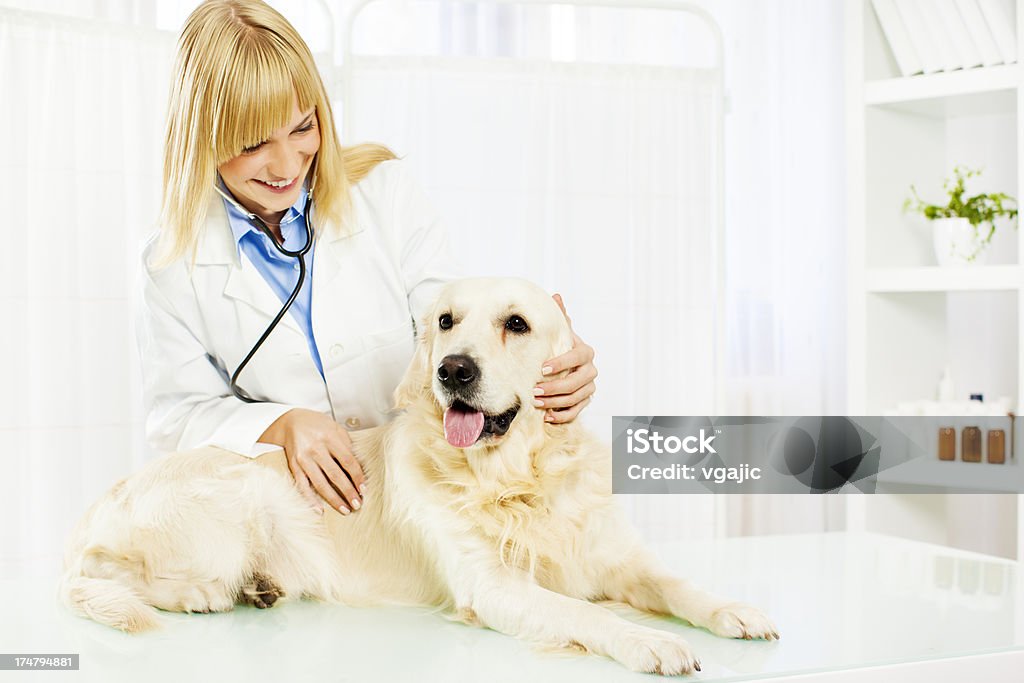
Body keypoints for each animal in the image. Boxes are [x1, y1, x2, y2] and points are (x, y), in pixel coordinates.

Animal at [59, 276, 774, 671]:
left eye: (517, 323)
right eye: (445, 321)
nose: (452, 369)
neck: (514, 480)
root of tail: (92, 513)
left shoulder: (617, 558)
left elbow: (676, 584)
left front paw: (734, 610)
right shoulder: (492, 588)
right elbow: (586, 614)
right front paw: (649, 642)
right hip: (236, 503)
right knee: (105, 573)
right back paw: (198, 594)